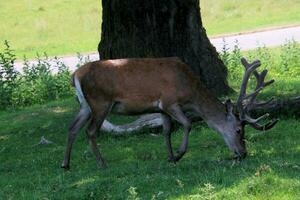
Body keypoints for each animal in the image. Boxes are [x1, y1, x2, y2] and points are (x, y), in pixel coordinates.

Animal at [61, 57, 278, 170]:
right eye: (239, 130)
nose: (243, 153)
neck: (189, 91)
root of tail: (75, 74)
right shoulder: (169, 101)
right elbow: (187, 124)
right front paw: (179, 154)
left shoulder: (161, 109)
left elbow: (166, 131)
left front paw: (170, 157)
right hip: (101, 102)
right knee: (90, 131)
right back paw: (102, 163)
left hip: (85, 105)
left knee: (72, 128)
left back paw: (65, 164)